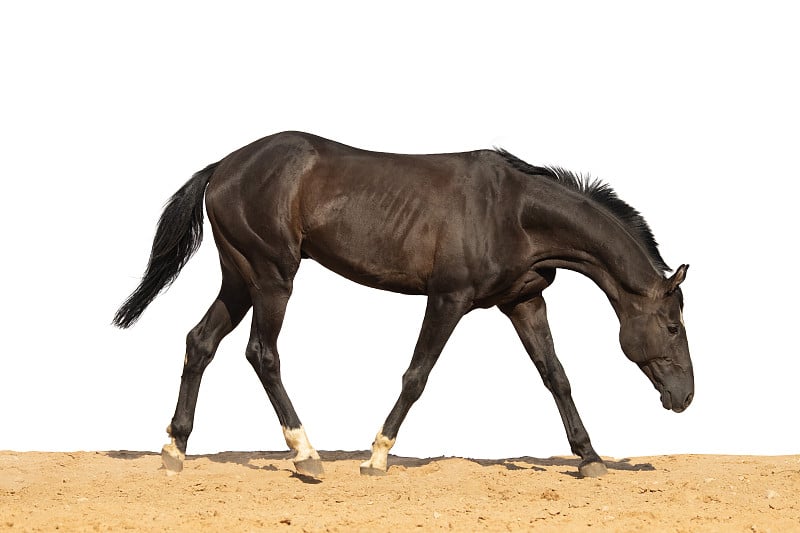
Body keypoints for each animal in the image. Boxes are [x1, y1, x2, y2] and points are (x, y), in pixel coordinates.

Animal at [114, 132, 692, 478]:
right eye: (671, 326)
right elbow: (417, 375)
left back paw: (175, 449)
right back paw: (306, 454)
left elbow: (557, 376)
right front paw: (377, 455)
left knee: (200, 342)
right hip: (272, 278)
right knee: (262, 353)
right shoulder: (448, 298)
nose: (684, 397)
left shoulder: (524, 302)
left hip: (239, 278)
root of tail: (223, 166)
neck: (512, 211)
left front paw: (590, 458)